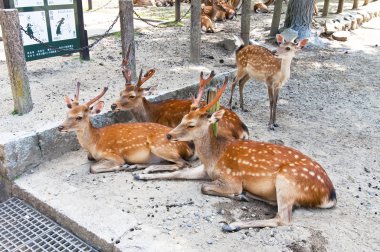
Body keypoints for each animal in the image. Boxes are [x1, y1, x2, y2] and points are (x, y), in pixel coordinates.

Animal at [57, 83, 194, 175]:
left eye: (79, 117)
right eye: (67, 113)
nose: (60, 127)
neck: (94, 143)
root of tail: (187, 147)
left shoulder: (113, 155)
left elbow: (93, 168)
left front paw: (121, 167)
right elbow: (89, 158)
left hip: (161, 146)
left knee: (183, 164)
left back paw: (145, 169)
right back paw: (136, 166)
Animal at [134, 77, 336, 232]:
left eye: (191, 124)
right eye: (182, 118)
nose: (169, 135)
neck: (214, 156)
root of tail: (330, 194)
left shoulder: (231, 179)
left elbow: (204, 187)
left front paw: (237, 196)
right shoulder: (205, 169)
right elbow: (178, 173)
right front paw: (140, 175)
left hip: (287, 182)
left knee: (283, 218)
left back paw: (233, 224)